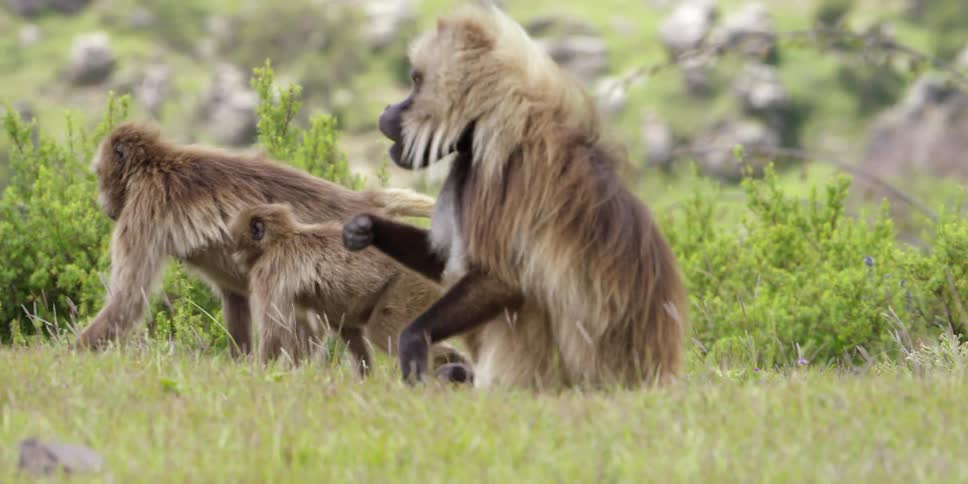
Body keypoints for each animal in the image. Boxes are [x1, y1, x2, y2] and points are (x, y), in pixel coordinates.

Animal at [228, 202, 472, 381]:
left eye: (236, 241)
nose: (234, 257)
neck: (283, 237)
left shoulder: (269, 272)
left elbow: (275, 328)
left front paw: (261, 374)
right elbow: (339, 329)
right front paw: (366, 380)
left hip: (407, 286)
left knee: (383, 331)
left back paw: (452, 363)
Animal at [342, 4, 689, 389]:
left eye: (416, 83)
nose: (387, 109)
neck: (489, 125)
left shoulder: (498, 180)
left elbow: (501, 279)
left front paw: (415, 341)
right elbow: (441, 257)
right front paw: (365, 227)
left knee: (525, 292)